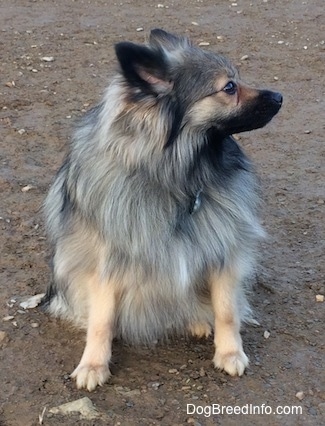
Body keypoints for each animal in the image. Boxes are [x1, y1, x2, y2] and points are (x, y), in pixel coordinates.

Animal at [42, 28, 280, 392]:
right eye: (229, 87)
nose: (280, 97)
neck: (178, 178)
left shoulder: (222, 249)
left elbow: (227, 310)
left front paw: (230, 354)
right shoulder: (107, 262)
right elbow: (101, 320)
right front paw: (93, 365)